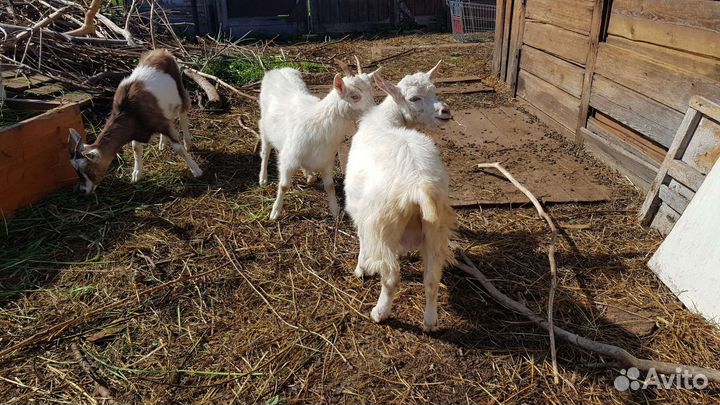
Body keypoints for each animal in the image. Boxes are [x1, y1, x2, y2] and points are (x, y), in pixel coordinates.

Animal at [67, 49, 201, 194]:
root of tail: (161, 51)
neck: (129, 111)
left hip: (179, 90)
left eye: (88, 169)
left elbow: (178, 148)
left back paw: (187, 142)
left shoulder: (160, 123)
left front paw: (196, 170)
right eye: (76, 171)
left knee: (183, 112)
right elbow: (136, 148)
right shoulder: (137, 130)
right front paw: (136, 174)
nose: (83, 191)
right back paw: (162, 143)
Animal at [258, 58, 380, 220]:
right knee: (265, 151)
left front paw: (335, 212)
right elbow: (283, 186)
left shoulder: (326, 160)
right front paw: (275, 212)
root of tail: (277, 70)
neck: (318, 123)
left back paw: (309, 175)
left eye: (371, 91)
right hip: (264, 127)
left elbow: (329, 186)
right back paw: (263, 178)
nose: (375, 113)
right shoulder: (288, 158)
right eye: (355, 96)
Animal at [344, 62, 455, 332]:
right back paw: (430, 321)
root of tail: (419, 186)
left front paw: (361, 268)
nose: (445, 111)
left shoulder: (362, 212)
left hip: (384, 226)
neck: (388, 121)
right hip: (436, 229)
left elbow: (361, 240)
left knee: (392, 277)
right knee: (432, 279)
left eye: (434, 90)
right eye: (415, 98)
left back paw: (380, 312)